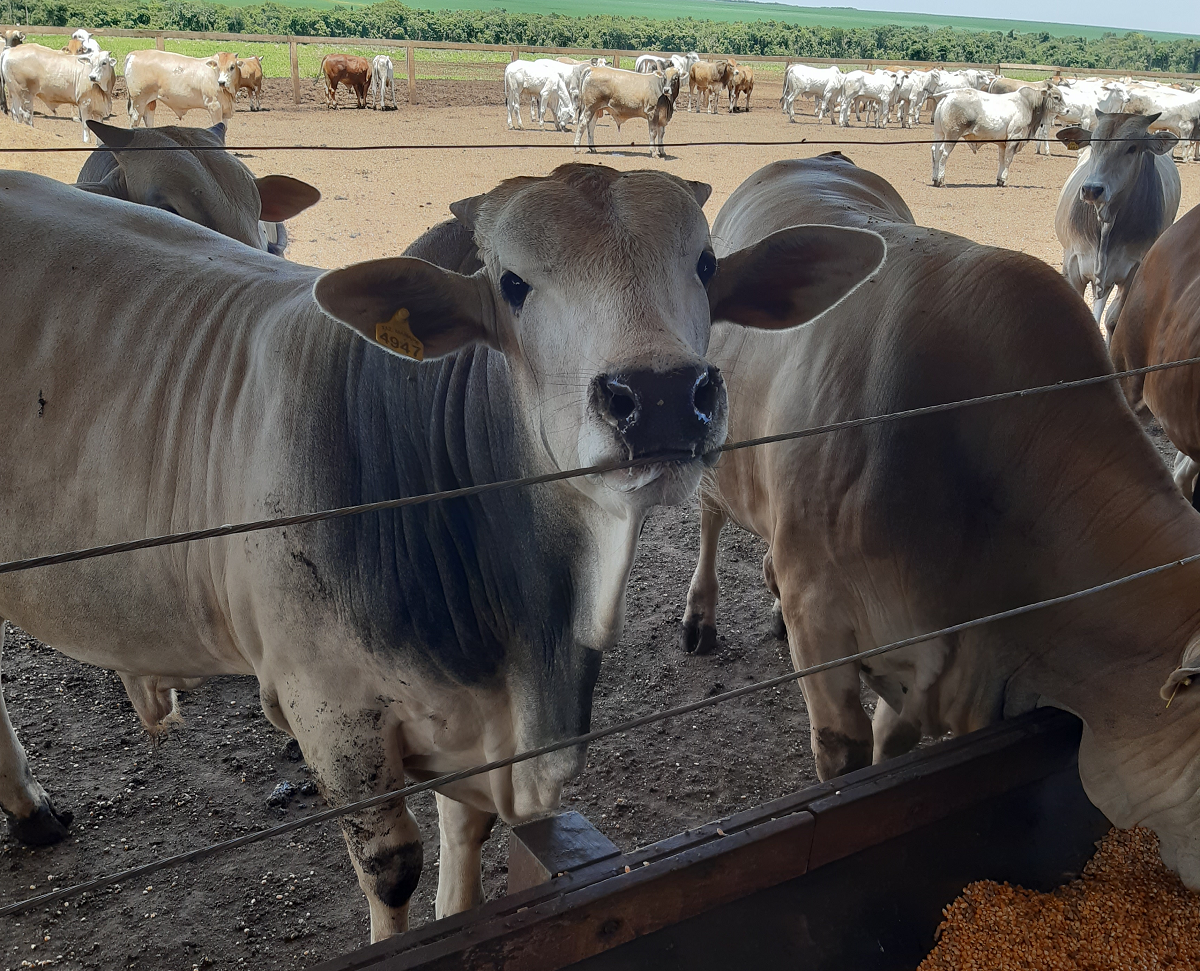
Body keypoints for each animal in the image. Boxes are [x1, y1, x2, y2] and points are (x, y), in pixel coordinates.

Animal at [0, 166, 883, 940]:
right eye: (513, 284)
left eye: (704, 264)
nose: (663, 394)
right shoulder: (333, 716)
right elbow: (394, 866)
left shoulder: (476, 720)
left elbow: (470, 833)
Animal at [681, 149, 1200, 892]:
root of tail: (816, 154)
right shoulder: (826, 624)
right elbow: (843, 754)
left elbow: (892, 748)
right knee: (709, 519)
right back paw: (700, 616)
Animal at [931, 82, 1065, 187]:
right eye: (1056, 97)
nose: (1067, 110)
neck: (1028, 104)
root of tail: (949, 94)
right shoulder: (1015, 137)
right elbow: (1008, 159)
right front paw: (1004, 180)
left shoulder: (1002, 143)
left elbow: (1002, 159)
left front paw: (999, 180)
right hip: (952, 135)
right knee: (943, 153)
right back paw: (941, 180)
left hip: (939, 134)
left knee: (935, 151)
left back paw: (935, 179)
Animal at [1051, 111, 1180, 338]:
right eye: (1092, 143)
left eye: (1132, 148)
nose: (1092, 189)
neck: (1106, 222)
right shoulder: (1073, 264)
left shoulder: (1132, 271)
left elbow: (1113, 320)